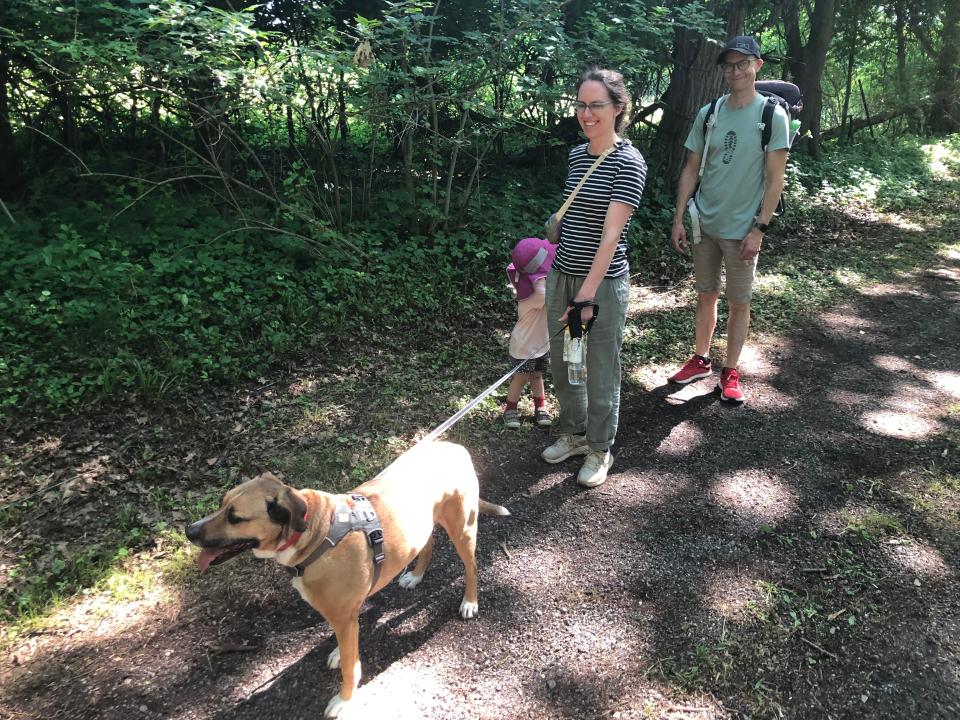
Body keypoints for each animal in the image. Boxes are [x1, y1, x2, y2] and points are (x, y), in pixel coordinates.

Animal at [183, 442, 506, 716]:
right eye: (221, 503)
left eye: (235, 517)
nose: (189, 531)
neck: (315, 534)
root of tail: (455, 447)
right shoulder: (344, 615)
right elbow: (347, 646)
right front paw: (340, 653)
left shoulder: (343, 615)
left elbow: (351, 669)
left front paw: (345, 700)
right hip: (423, 526)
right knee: (427, 545)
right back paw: (415, 575)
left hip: (463, 530)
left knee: (471, 567)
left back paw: (469, 601)